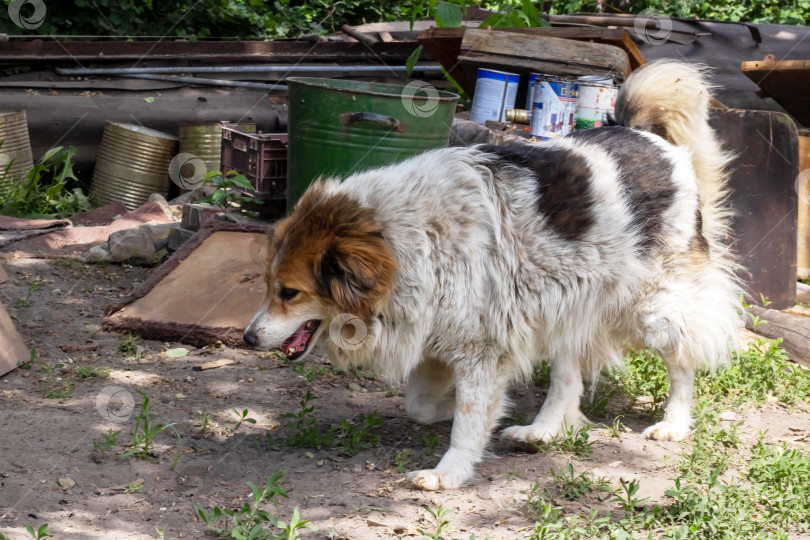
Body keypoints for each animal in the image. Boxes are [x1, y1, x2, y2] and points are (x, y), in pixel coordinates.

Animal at [243, 61, 740, 492]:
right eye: (268, 287)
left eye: (290, 292)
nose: (247, 338)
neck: (405, 237)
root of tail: (648, 137)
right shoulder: (437, 336)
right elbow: (420, 406)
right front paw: (452, 413)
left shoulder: (480, 346)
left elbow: (468, 417)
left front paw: (449, 471)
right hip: (565, 301)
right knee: (569, 380)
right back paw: (541, 431)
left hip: (653, 306)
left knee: (683, 360)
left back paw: (673, 423)